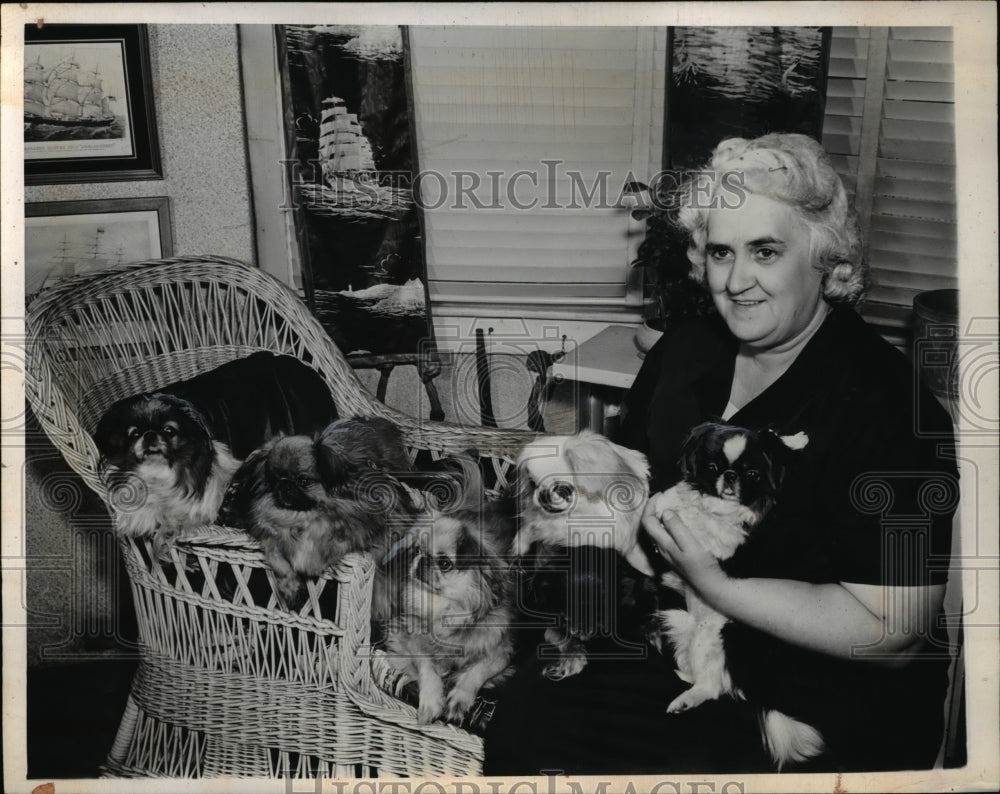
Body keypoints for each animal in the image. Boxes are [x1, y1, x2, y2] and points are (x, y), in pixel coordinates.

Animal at [219, 414, 418, 612]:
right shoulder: (269, 536)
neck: (304, 516)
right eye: (274, 480)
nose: (284, 485)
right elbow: (278, 558)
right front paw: (289, 587)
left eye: (303, 481)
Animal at [384, 458, 520, 724]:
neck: (444, 606)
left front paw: (458, 700)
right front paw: (431, 701)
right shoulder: (408, 638)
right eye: (417, 550)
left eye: (445, 563)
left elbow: (476, 671)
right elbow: (427, 666)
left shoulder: (501, 652)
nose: (422, 561)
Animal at [644, 420, 824, 768]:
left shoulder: (724, 543)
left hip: (709, 635)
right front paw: (669, 501)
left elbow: (713, 526)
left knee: (713, 685)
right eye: (712, 466)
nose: (729, 476)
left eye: (752, 474)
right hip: (677, 620)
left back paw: (687, 698)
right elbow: (679, 500)